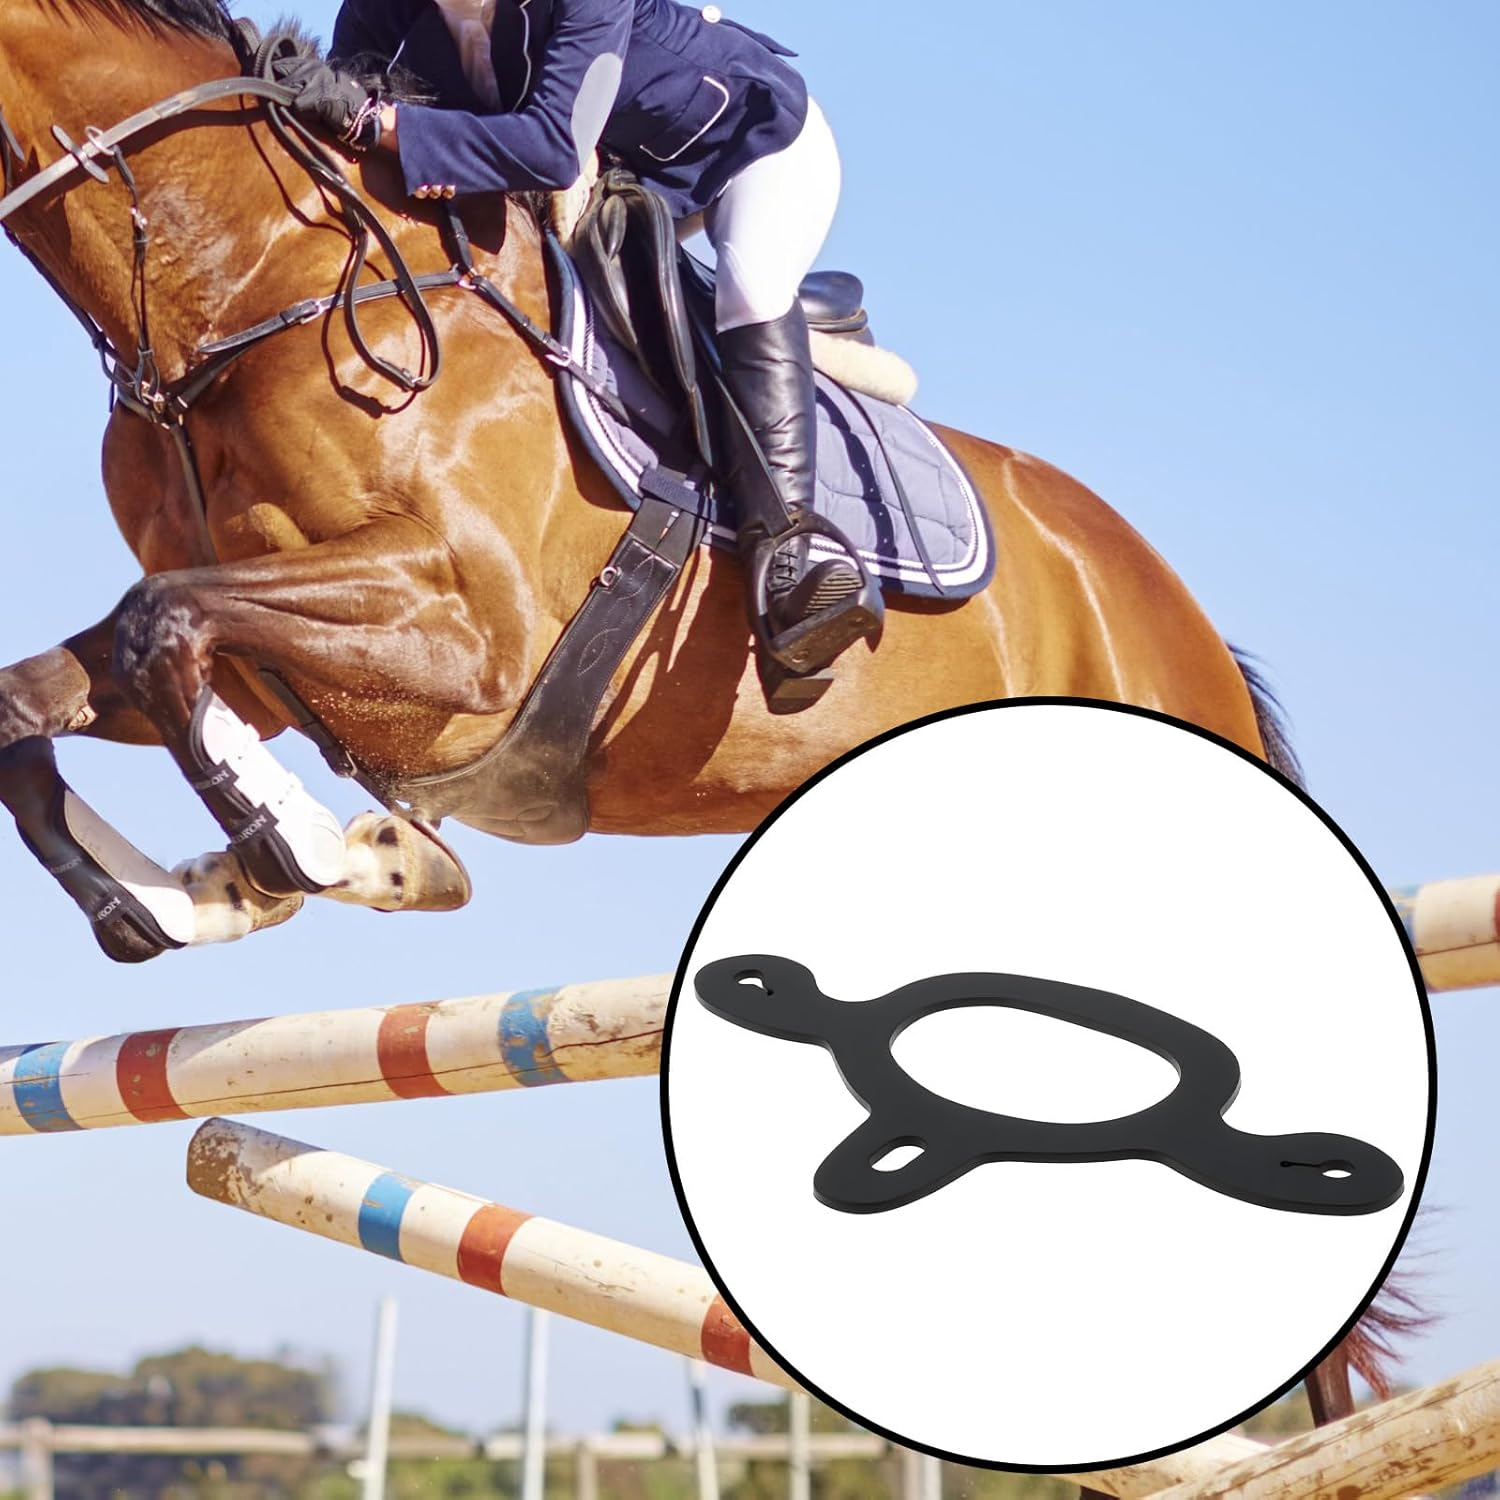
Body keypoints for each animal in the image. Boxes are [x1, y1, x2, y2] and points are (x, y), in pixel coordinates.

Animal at [0, 0, 1415, 1440]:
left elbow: (160, 625)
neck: (236, 288)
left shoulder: (461, 628)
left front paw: (342, 857)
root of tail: (1168, 599)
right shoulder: (277, 670)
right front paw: (188, 896)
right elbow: (65, 688)